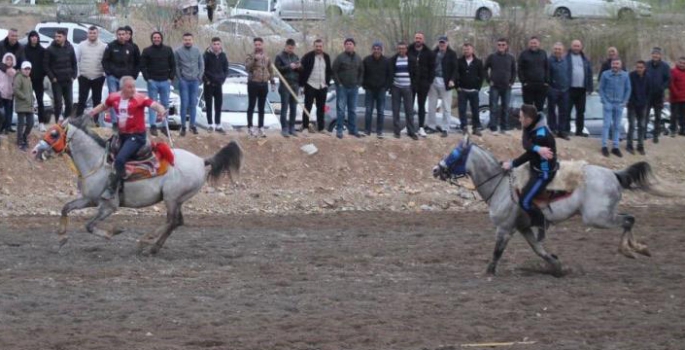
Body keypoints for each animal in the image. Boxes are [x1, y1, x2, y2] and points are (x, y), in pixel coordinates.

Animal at [31, 115, 243, 254]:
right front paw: (61, 236)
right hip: (178, 199)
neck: (96, 162)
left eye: (54, 134)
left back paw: (145, 241)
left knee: (172, 221)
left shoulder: (108, 206)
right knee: (177, 222)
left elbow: (89, 226)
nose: (34, 151)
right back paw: (153, 247)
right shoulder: (88, 199)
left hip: (172, 198)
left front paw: (112, 233)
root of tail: (201, 160)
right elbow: (66, 208)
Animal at [432, 135, 680, 278]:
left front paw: (489, 272)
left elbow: (497, 251)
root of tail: (614, 174)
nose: (436, 169)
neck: (501, 184)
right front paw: (557, 266)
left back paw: (631, 249)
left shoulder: (504, 228)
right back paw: (637, 249)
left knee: (629, 220)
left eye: (454, 154)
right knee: (629, 219)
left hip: (597, 217)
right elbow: (538, 249)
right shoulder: (523, 227)